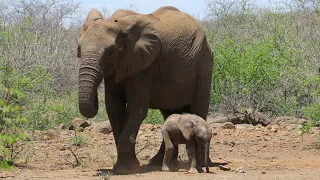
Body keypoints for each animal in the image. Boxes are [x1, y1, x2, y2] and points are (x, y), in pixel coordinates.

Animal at [76, 5, 214, 174]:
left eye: (110, 52)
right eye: (79, 50)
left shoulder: (144, 66)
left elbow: (137, 110)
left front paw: (126, 168)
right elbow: (114, 110)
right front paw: (122, 166)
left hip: (204, 64)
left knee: (198, 109)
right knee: (169, 114)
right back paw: (158, 163)